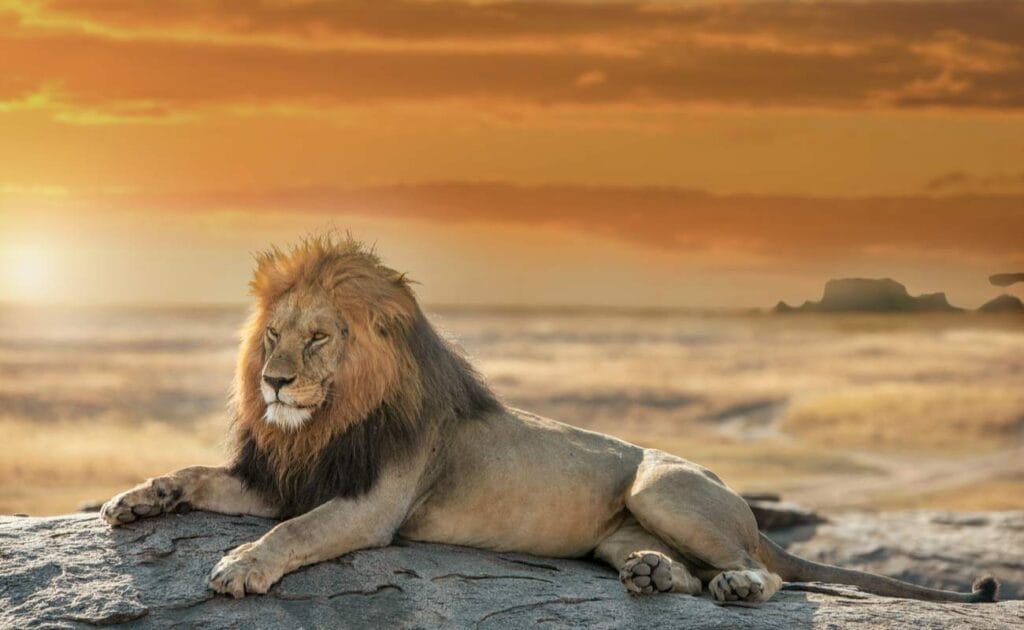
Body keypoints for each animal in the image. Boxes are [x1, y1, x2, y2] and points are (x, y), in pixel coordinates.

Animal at [99, 236, 995, 606]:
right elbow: (194, 475)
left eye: (318, 338)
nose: (274, 381)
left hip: (663, 487)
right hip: (623, 530)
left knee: (763, 570)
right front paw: (135, 499)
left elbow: (294, 532)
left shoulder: (367, 505)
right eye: (272, 338)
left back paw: (737, 583)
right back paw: (656, 576)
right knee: (671, 563)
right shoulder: (284, 476)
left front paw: (240, 566)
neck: (324, 421)